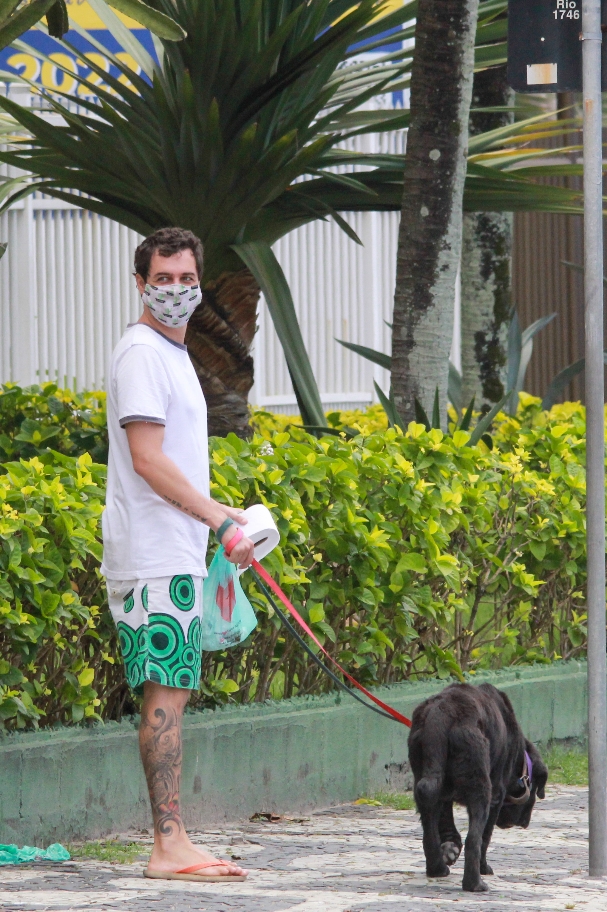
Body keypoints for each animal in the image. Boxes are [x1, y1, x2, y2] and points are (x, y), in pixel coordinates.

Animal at [410, 684, 548, 892]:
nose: (525, 823)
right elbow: (485, 836)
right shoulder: (496, 796)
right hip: (481, 790)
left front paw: (450, 848)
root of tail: (442, 712)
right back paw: (474, 883)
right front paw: (484, 867)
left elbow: (446, 821)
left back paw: (437, 869)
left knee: (429, 830)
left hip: (424, 780)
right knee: (474, 839)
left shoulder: (444, 795)